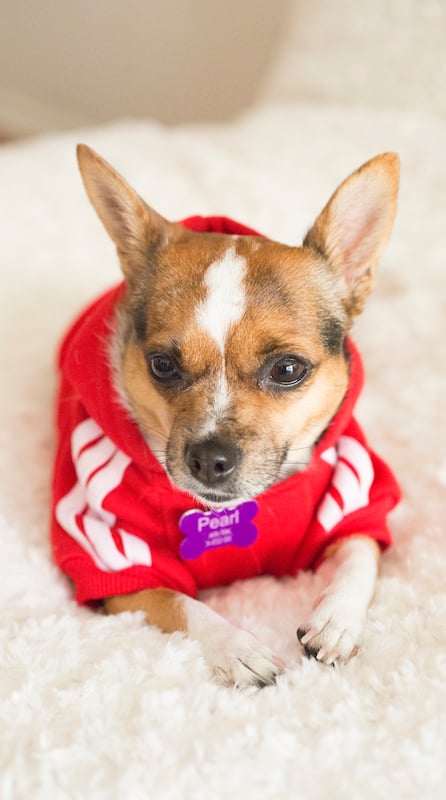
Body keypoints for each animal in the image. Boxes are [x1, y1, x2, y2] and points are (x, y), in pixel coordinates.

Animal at [51, 145, 400, 688]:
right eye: (162, 365)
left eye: (287, 369)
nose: (210, 458)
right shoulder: (117, 565)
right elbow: (185, 605)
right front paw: (238, 648)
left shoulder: (357, 498)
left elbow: (357, 555)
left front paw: (336, 620)